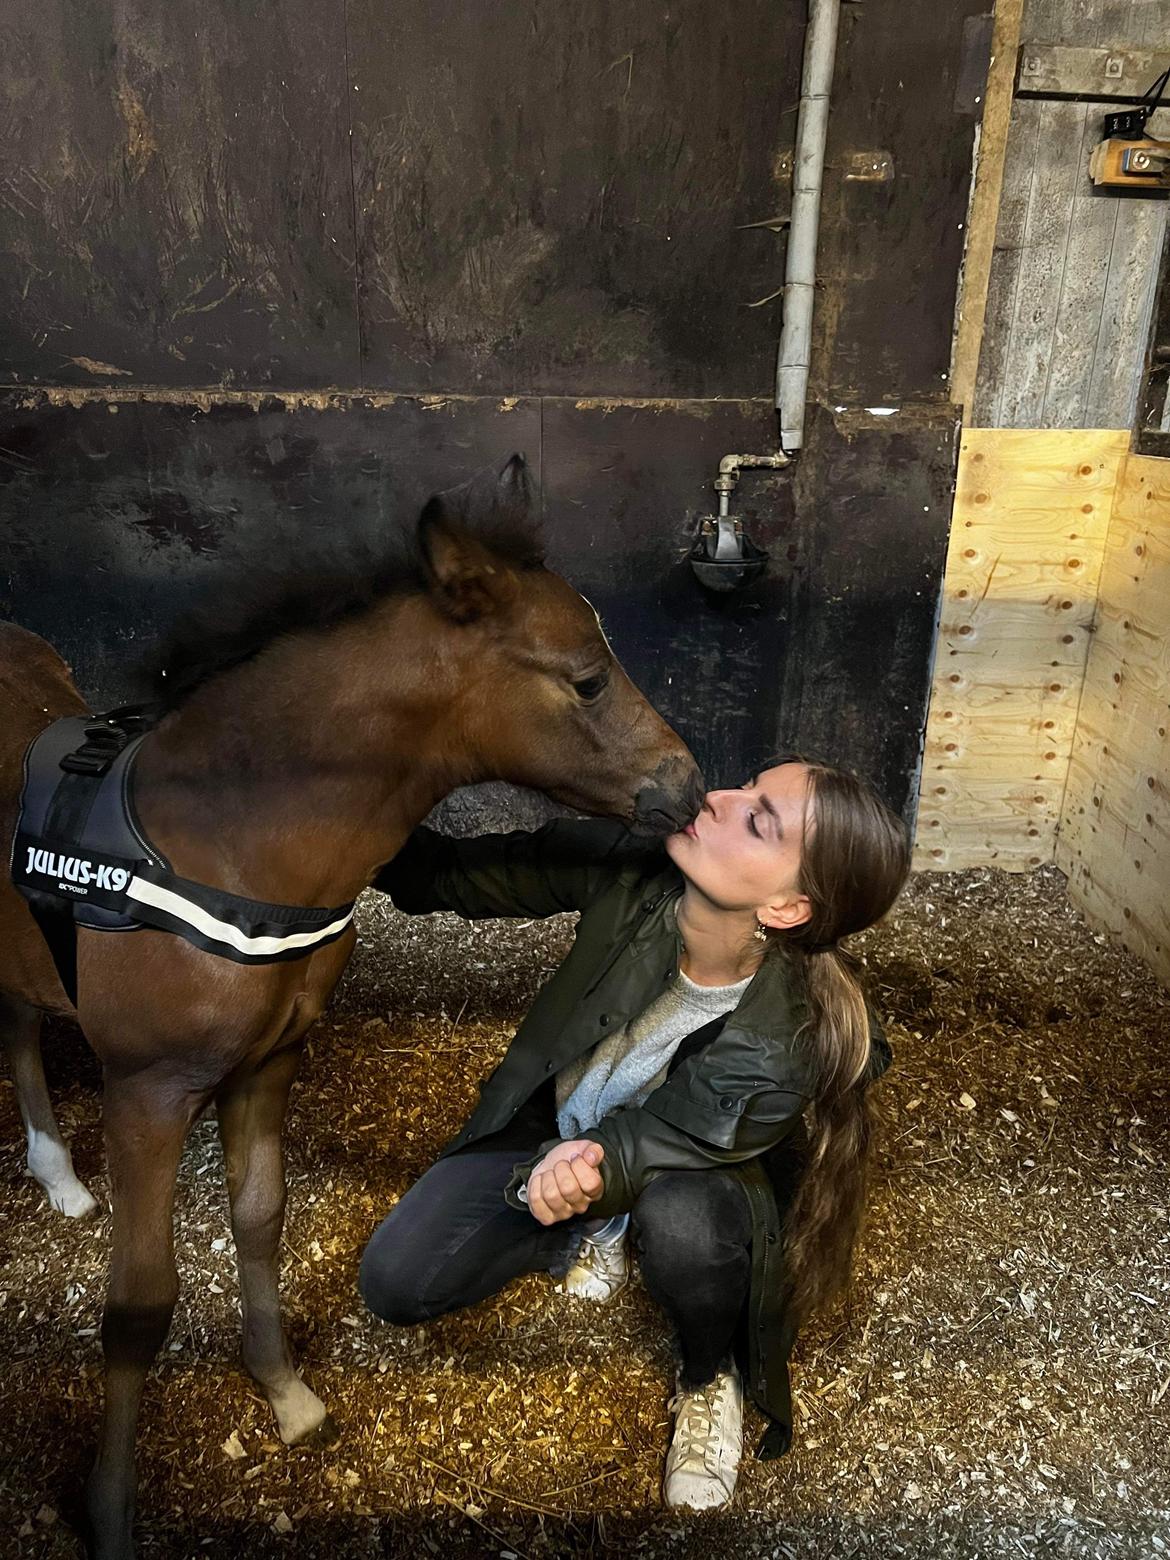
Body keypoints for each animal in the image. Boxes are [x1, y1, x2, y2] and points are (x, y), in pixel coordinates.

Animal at [0, 453, 703, 1559]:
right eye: (586, 678)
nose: (687, 783)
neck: (224, 837)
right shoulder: (149, 1091)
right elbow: (139, 1304)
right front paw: (110, 1512)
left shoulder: (268, 1062)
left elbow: (257, 1217)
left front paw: (285, 1396)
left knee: (22, 1018)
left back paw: (60, 1179)